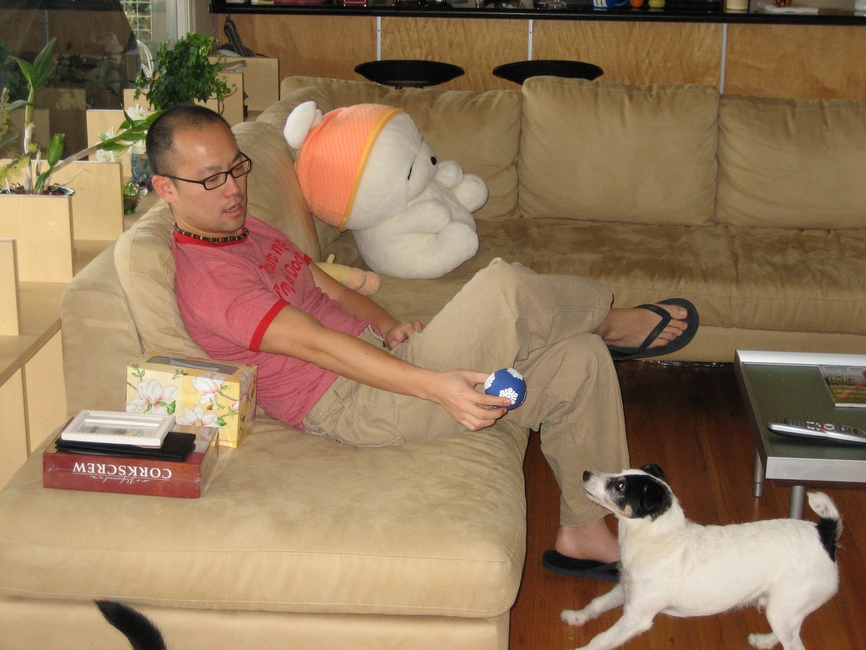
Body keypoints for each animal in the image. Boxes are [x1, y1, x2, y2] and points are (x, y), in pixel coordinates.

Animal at [561, 464, 841, 650]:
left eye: (620, 486)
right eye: (618, 471)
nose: (585, 473)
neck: (658, 538)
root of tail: (824, 535)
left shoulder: (635, 617)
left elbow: (601, 640)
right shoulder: (626, 590)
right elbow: (596, 604)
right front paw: (577, 616)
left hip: (783, 609)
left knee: (794, 644)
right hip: (781, 610)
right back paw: (763, 640)